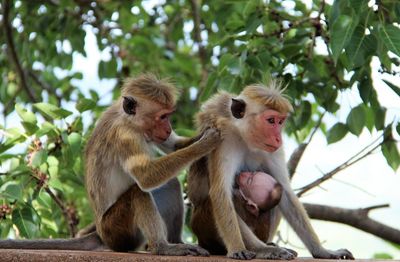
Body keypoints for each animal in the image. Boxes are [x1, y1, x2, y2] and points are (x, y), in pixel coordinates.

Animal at [0, 73, 219, 256]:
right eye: (162, 116)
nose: (168, 128)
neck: (129, 121)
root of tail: (100, 233)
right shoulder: (125, 136)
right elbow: (145, 176)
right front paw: (206, 143)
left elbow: (174, 146)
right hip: (116, 231)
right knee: (138, 193)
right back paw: (162, 247)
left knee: (169, 183)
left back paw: (175, 241)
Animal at [188, 82, 354, 260]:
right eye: (270, 120)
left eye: (280, 122)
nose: (278, 138)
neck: (245, 138)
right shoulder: (224, 139)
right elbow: (220, 192)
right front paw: (251, 249)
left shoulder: (274, 150)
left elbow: (286, 192)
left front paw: (323, 251)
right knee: (223, 198)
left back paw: (270, 243)